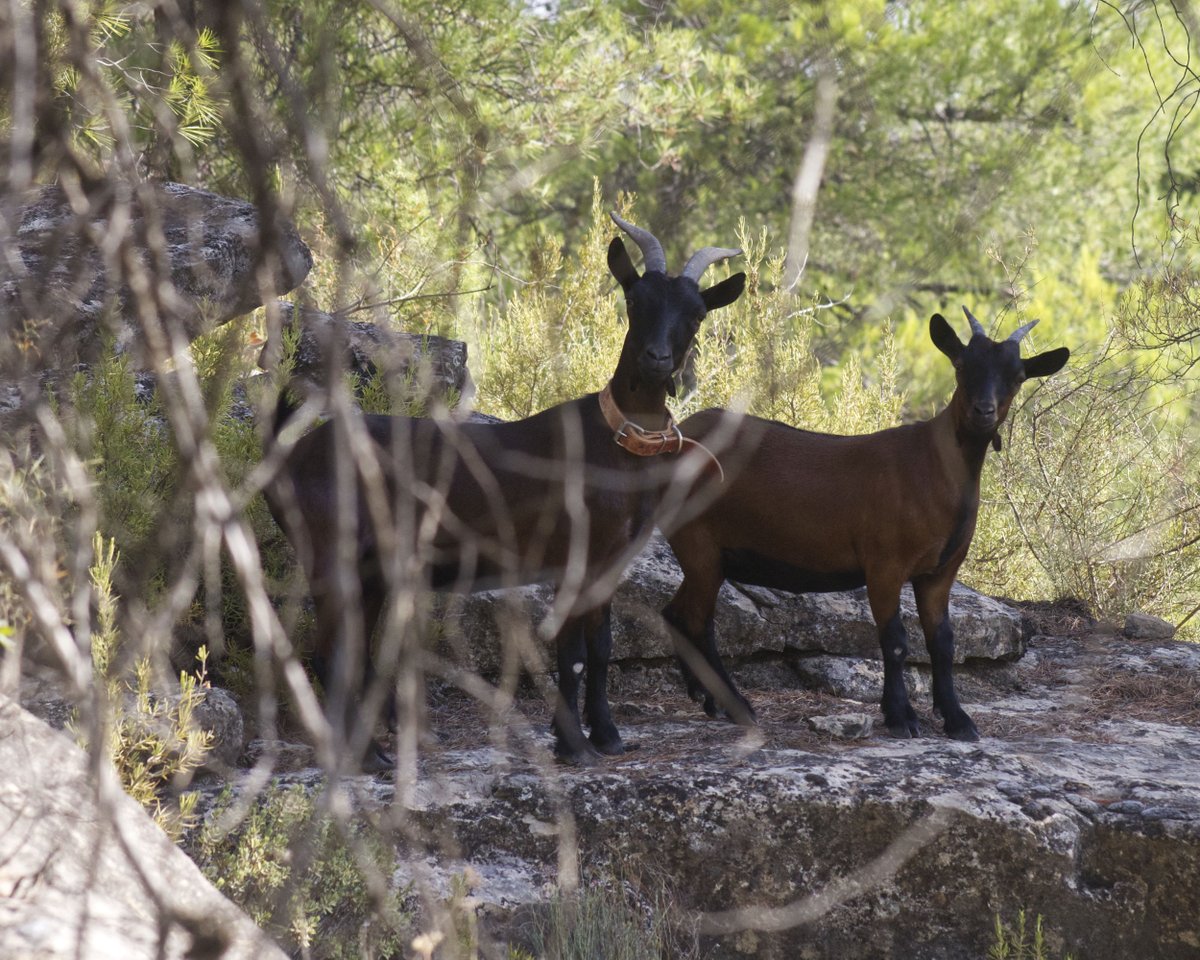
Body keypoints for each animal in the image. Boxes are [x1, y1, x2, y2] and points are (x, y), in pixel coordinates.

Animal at [266, 213, 746, 769]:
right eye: (634, 299)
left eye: (697, 315)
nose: (656, 359)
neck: (614, 444)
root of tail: (284, 454)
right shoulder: (572, 554)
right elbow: (571, 653)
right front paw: (574, 747)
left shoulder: (609, 561)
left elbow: (601, 646)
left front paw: (606, 735)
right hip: (330, 552)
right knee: (327, 654)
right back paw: (365, 759)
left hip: (371, 568)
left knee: (351, 652)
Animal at [662, 308, 1069, 741]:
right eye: (961, 365)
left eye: (1018, 375)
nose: (983, 411)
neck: (932, 467)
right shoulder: (884, 563)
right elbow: (895, 640)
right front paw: (901, 716)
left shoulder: (940, 571)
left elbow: (943, 643)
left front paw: (958, 720)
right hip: (697, 540)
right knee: (698, 620)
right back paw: (736, 704)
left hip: (706, 554)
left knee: (677, 613)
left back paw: (706, 696)